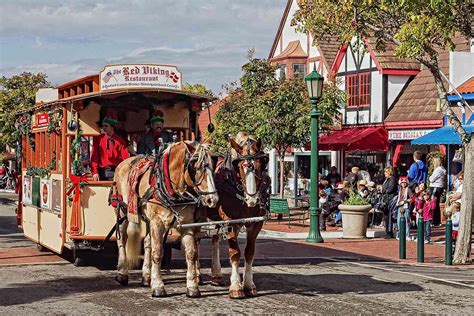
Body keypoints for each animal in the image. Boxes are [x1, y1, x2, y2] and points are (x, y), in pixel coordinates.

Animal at [114, 142, 219, 298]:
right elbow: (157, 252)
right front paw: (158, 286)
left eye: (213, 166)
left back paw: (146, 276)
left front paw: (192, 287)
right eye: (196, 167)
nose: (213, 199)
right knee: (122, 239)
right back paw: (122, 273)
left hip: (148, 219)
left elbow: (191, 253)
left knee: (147, 242)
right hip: (122, 210)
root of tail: (124, 162)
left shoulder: (187, 223)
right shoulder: (157, 222)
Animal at [204, 133, 270, 298]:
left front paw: (248, 284)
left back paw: (216, 276)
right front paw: (235, 286)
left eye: (261, 165)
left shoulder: (255, 223)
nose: (252, 199)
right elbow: (235, 252)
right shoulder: (230, 222)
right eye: (239, 167)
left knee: (215, 240)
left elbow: (249, 252)